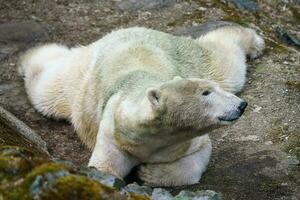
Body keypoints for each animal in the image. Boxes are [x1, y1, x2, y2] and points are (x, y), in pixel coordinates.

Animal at [18, 23, 264, 186]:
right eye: (206, 93)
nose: (241, 105)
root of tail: (129, 28)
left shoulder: (188, 142)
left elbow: (197, 159)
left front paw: (148, 173)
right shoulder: (114, 133)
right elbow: (104, 167)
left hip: (188, 58)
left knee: (225, 66)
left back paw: (253, 42)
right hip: (80, 80)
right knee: (48, 90)